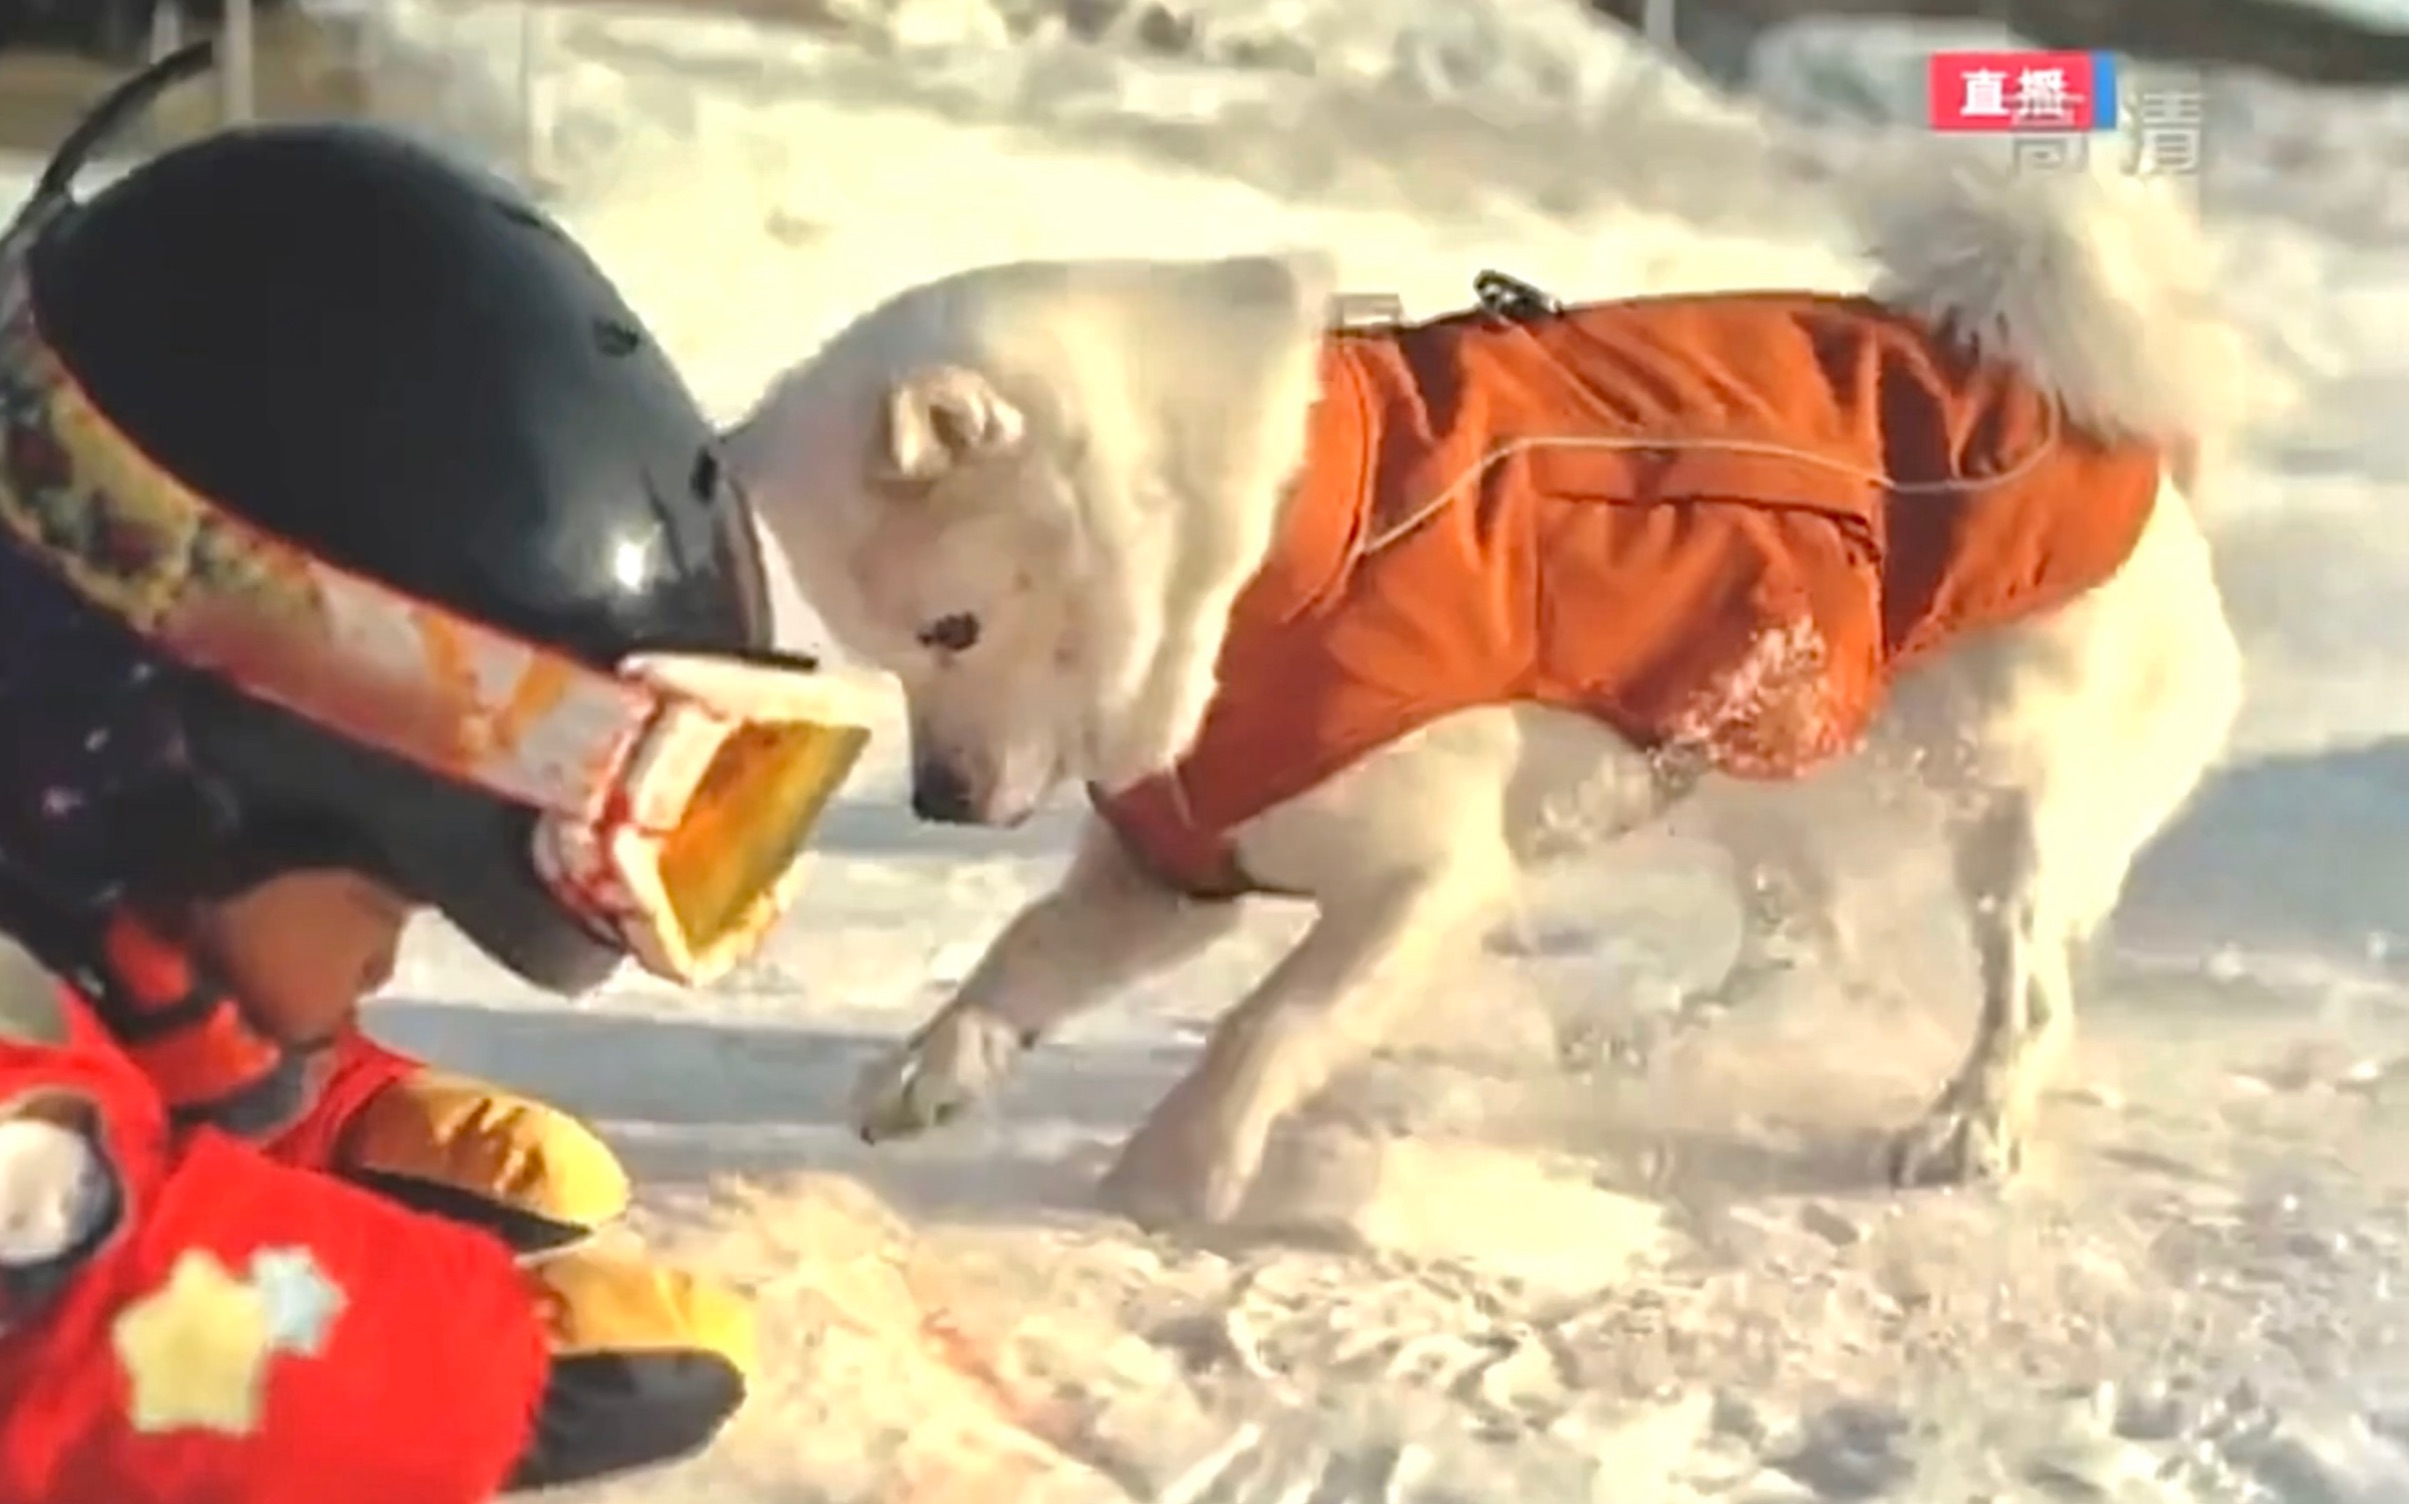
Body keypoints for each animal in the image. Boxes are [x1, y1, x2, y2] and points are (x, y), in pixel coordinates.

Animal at [732, 153, 2254, 1229]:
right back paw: (1647, 1044)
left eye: (952, 627)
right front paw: (932, 1070)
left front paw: (1178, 1166)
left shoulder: (1430, 879)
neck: (1261, 554)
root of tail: (2082, 400)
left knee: (2024, 990)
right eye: (880, 649)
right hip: (1755, 754)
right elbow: (1020, 955)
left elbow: (1270, 1019)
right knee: (1798, 934)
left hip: (2005, 798)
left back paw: (1966, 1123)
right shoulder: (1174, 862)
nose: (939, 802)